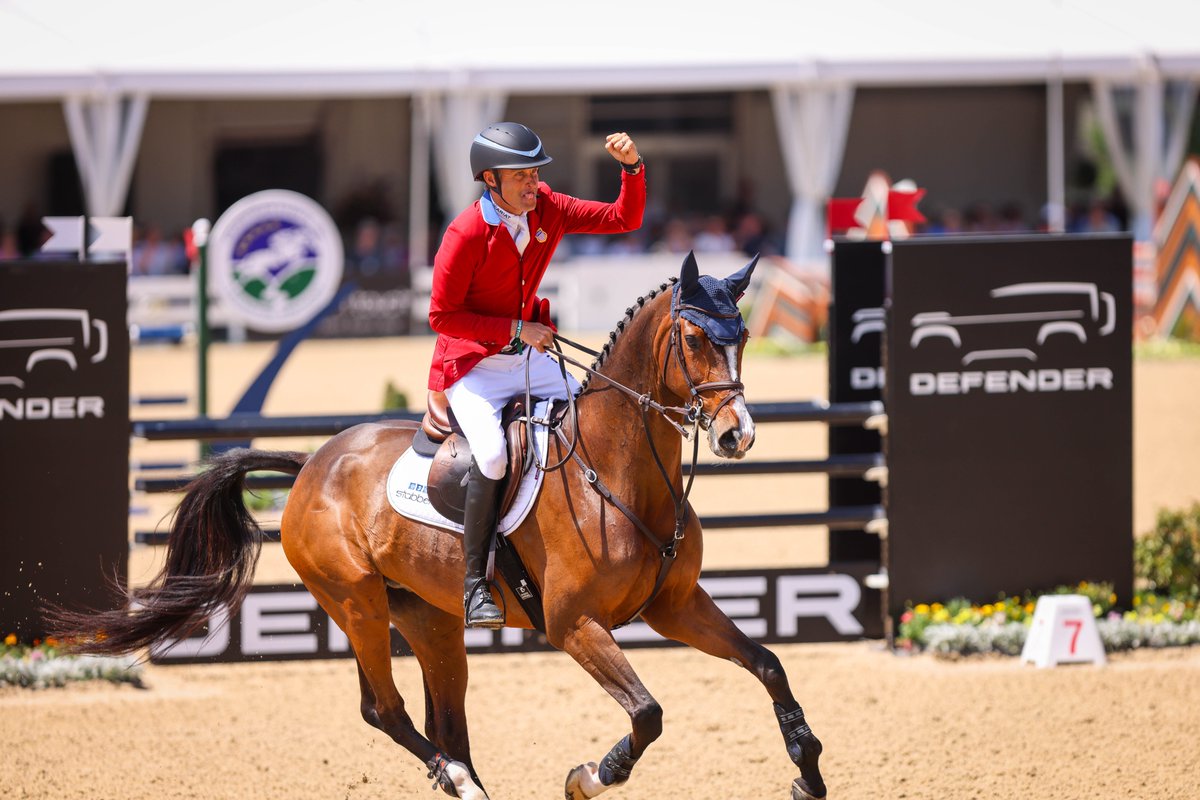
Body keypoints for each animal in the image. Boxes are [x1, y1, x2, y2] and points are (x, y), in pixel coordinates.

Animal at [54, 251, 825, 800]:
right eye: (693, 337)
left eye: (744, 336)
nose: (736, 436)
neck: (617, 473)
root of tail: (312, 464)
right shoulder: (576, 625)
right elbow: (647, 714)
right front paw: (587, 778)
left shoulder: (675, 605)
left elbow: (768, 663)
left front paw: (807, 769)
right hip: (357, 604)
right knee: (386, 711)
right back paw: (458, 782)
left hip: (432, 620)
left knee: (444, 720)